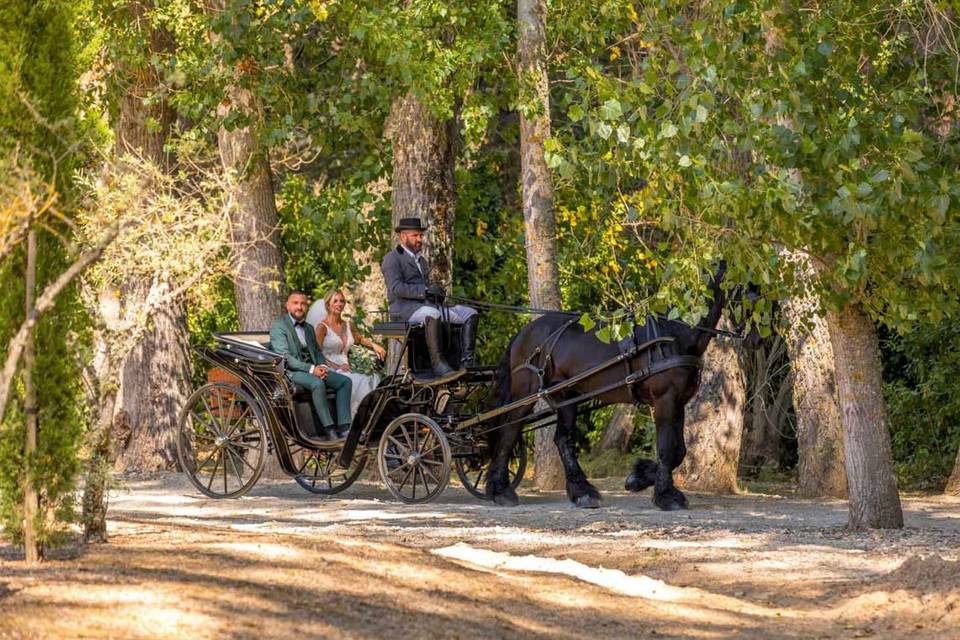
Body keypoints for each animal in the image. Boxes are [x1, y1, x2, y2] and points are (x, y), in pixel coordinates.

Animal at [488, 264, 756, 510]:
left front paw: (639, 478)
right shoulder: (665, 399)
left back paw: (582, 493)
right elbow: (668, 448)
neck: (674, 333)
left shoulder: (678, 401)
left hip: (566, 396)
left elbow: (679, 450)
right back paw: (501, 490)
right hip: (525, 393)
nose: (756, 337)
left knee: (562, 439)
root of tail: (523, 334)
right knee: (509, 430)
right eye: (741, 283)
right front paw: (666, 497)